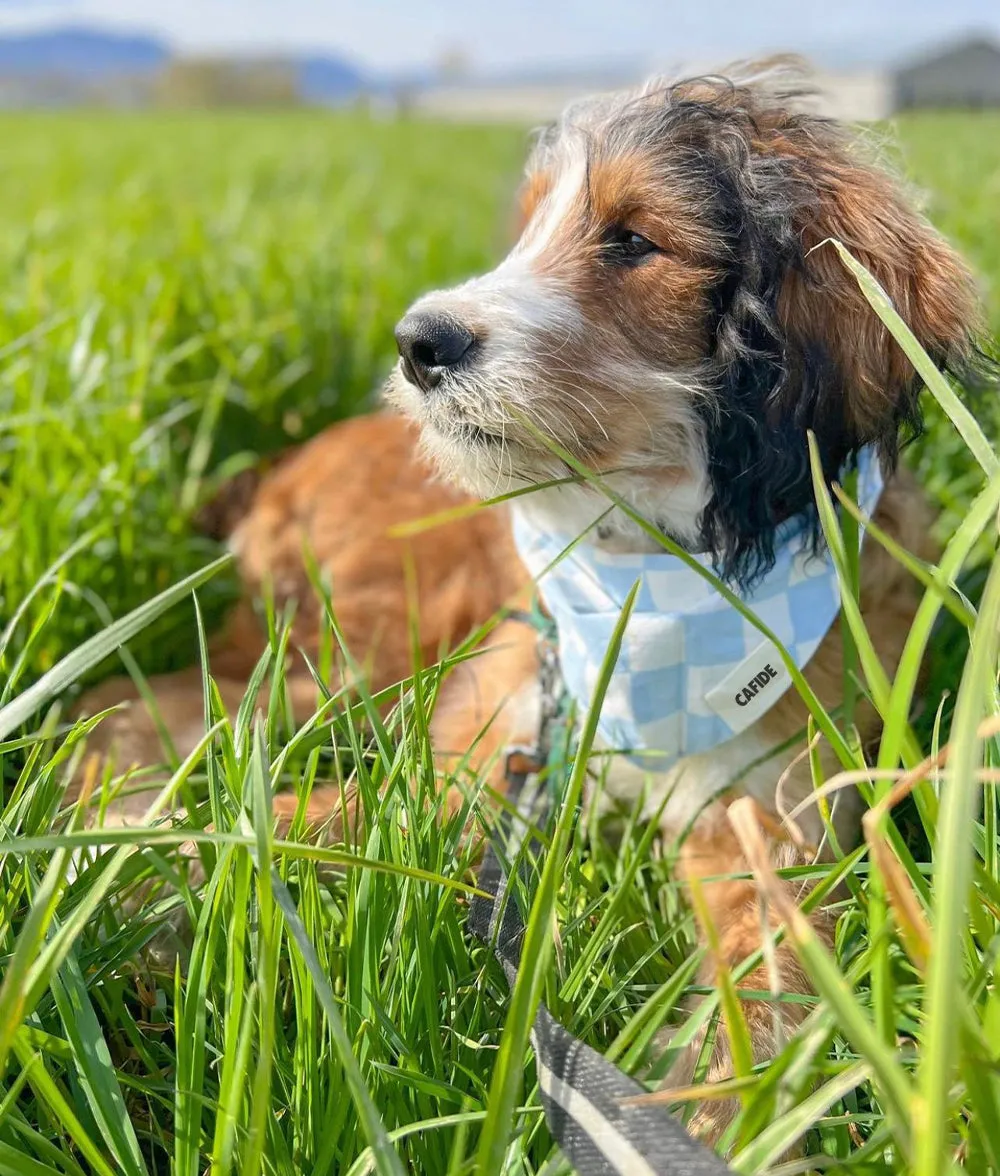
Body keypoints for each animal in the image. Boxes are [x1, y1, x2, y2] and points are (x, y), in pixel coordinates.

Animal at [75, 68, 983, 1143]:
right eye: (528, 228)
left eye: (632, 239)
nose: (417, 343)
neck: (645, 579)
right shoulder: (480, 757)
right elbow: (319, 826)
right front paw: (134, 876)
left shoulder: (770, 825)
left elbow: (760, 988)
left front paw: (703, 1119)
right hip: (352, 653)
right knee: (140, 700)